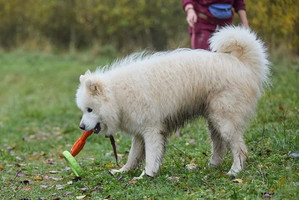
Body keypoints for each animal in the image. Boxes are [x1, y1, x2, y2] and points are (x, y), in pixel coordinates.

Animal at [75, 26, 270, 178]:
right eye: (84, 110)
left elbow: (151, 156)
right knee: (219, 146)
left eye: (90, 109)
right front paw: (123, 171)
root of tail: (241, 64)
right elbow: (133, 156)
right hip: (214, 120)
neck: (117, 94)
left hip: (224, 120)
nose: (81, 127)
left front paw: (146, 175)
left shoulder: (151, 130)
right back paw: (212, 166)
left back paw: (235, 171)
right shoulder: (139, 133)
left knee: (239, 148)